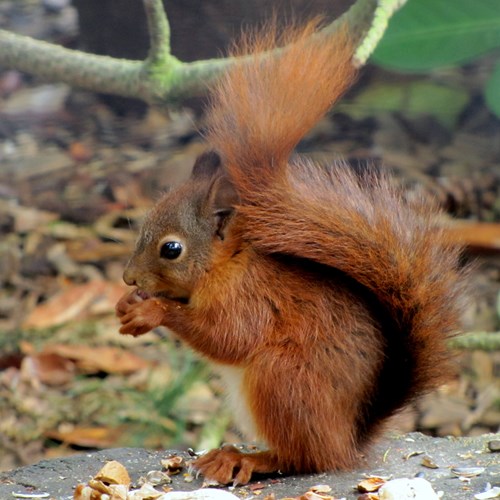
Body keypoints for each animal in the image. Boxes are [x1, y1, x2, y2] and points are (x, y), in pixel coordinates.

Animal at [116, 20, 468, 484]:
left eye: (171, 249)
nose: (128, 278)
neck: (228, 265)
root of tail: (348, 441)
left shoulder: (250, 300)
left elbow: (225, 337)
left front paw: (152, 311)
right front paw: (128, 305)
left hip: (282, 381)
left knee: (304, 458)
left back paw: (243, 458)